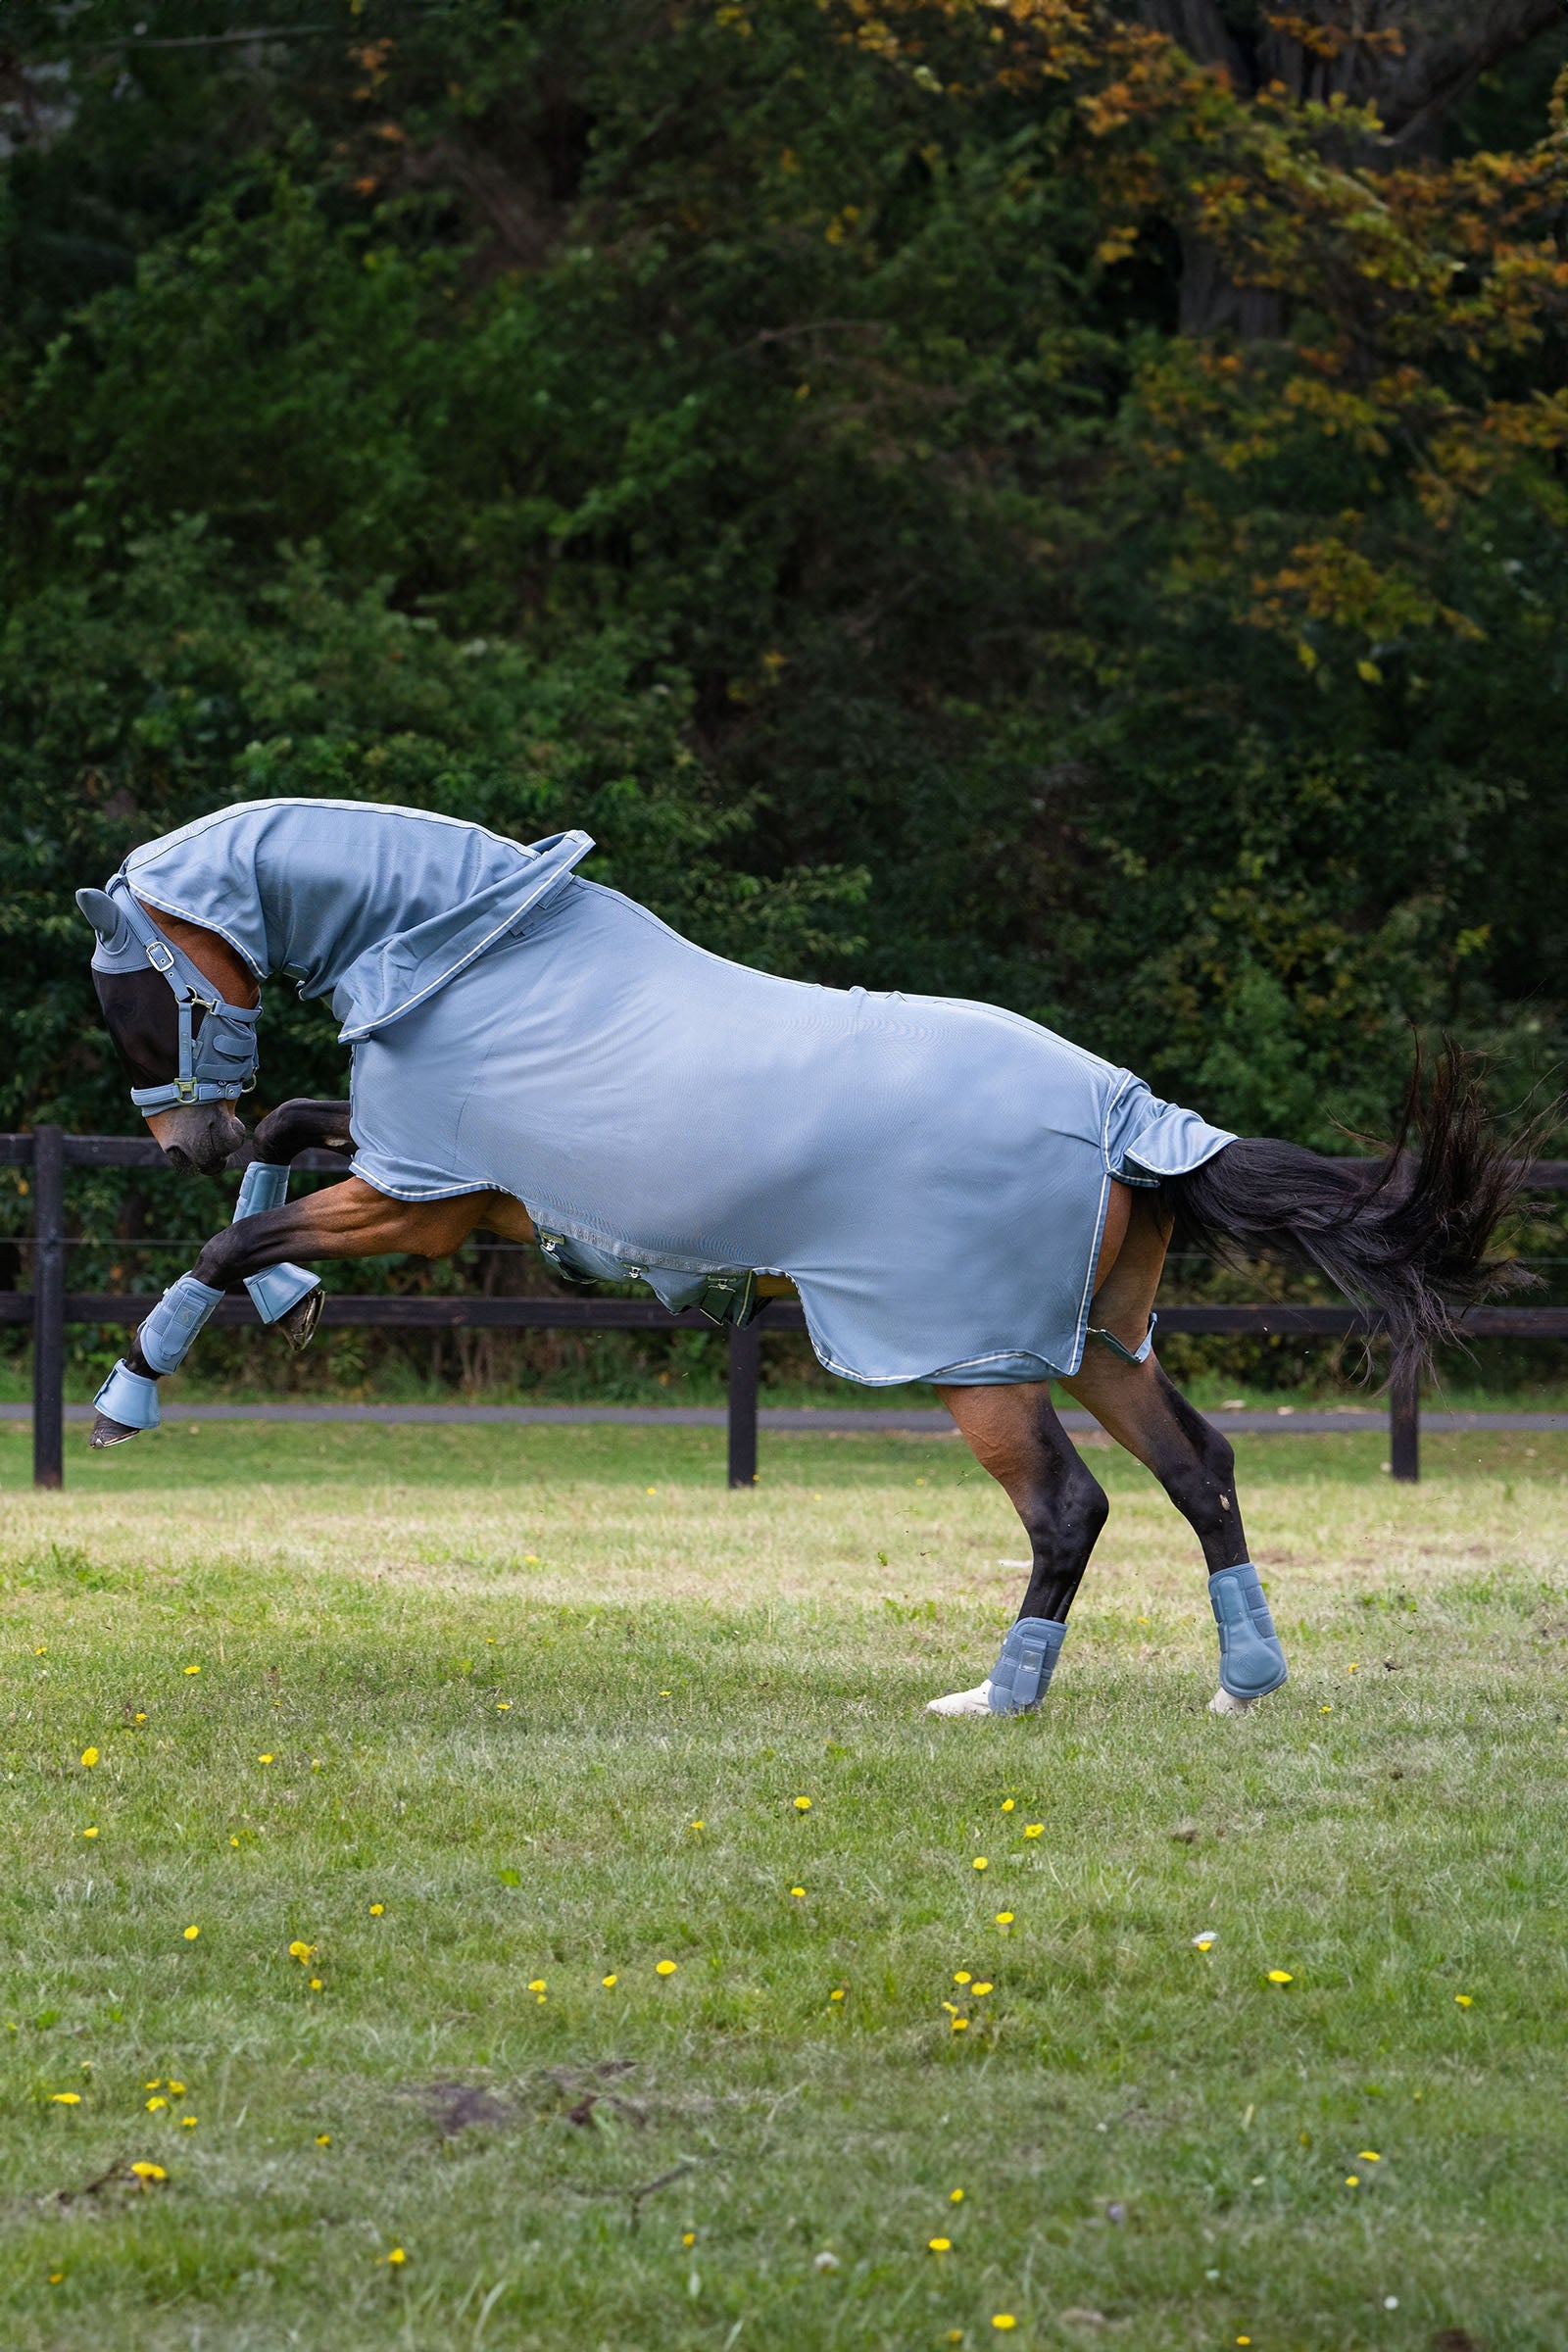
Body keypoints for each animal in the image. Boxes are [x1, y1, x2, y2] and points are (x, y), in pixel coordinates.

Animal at [77, 796, 1525, 1719]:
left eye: (131, 992)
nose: (184, 1140)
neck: (473, 961)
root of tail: (1133, 1119)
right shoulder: (440, 1187)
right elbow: (289, 1131)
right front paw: (283, 1296)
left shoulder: (417, 1202)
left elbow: (234, 1230)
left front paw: (130, 1394)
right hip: (1101, 1345)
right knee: (1201, 1474)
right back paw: (1242, 1684)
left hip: (981, 1366)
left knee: (1070, 1509)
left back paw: (1000, 1699)